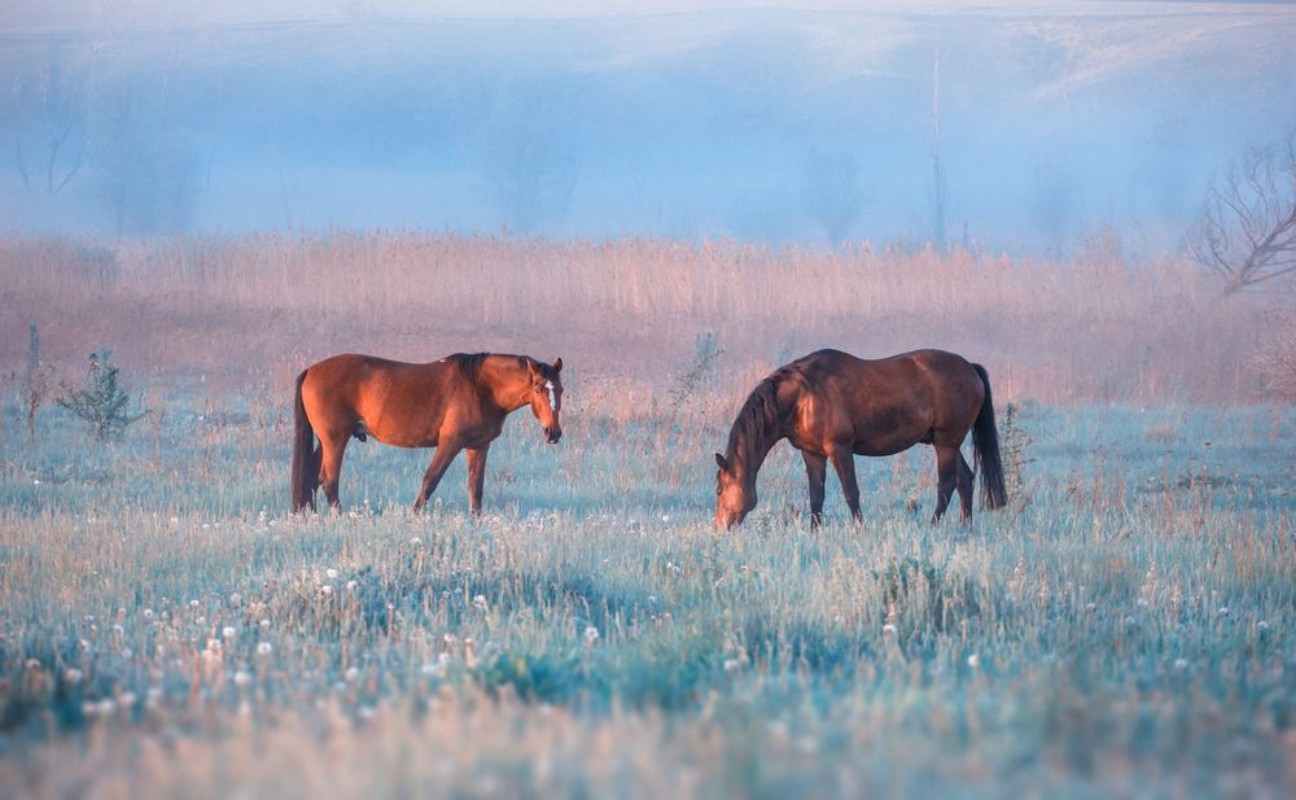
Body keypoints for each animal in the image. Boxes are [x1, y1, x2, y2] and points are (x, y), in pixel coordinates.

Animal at [292, 352, 563, 515]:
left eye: (560, 389)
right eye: (538, 389)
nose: (553, 433)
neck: (480, 386)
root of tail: (310, 370)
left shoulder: (478, 446)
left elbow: (476, 488)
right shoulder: (450, 443)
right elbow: (430, 480)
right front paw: (415, 515)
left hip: (327, 441)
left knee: (311, 477)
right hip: (335, 439)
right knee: (329, 480)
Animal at [714, 348, 1006, 529]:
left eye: (718, 490)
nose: (720, 526)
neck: (802, 396)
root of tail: (971, 369)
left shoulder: (840, 449)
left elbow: (850, 492)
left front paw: (859, 527)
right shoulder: (813, 453)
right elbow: (816, 495)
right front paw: (814, 531)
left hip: (946, 443)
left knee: (946, 485)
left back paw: (934, 526)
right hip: (946, 443)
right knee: (965, 479)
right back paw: (964, 526)